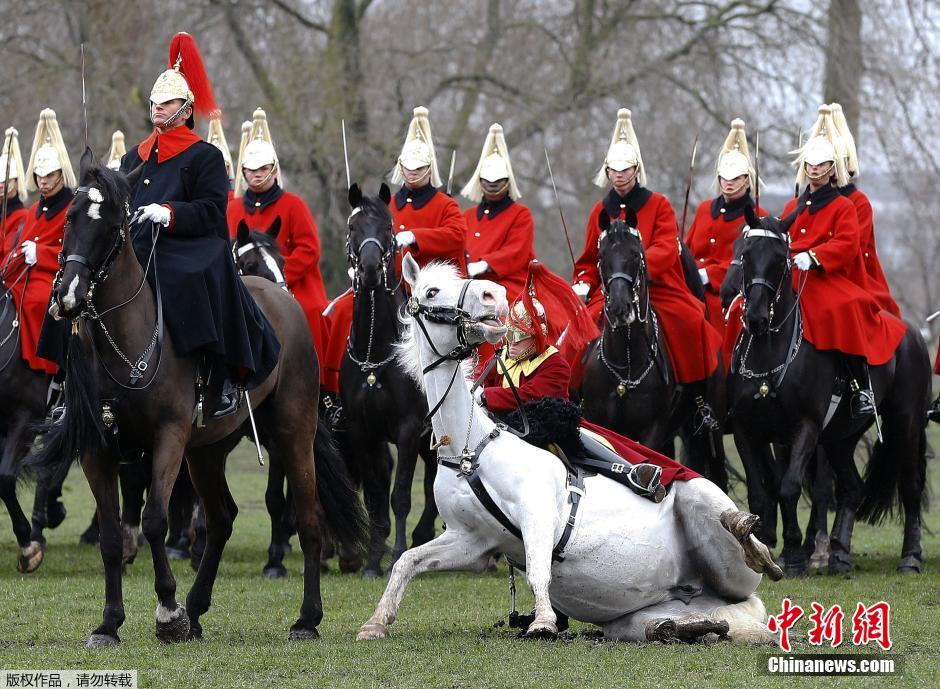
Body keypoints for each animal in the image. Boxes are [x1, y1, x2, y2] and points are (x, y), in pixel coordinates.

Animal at [29, 153, 368, 648]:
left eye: (111, 223)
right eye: (70, 218)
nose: (68, 296)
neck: (127, 340)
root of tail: (285, 302)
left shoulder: (168, 439)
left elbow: (154, 519)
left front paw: (167, 612)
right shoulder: (97, 450)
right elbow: (111, 536)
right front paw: (110, 623)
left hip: (292, 433)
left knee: (308, 517)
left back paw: (305, 618)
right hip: (207, 451)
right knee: (222, 518)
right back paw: (197, 610)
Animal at [358, 254, 780, 644]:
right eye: (431, 291)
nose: (492, 294)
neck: (470, 449)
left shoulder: (538, 514)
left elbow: (538, 568)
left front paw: (543, 622)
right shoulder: (472, 541)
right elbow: (407, 562)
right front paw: (376, 622)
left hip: (709, 512)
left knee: (745, 546)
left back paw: (750, 540)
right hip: (651, 615)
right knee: (693, 623)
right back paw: (683, 627)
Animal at [580, 212, 728, 486]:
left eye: (635, 254)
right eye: (602, 257)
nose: (620, 308)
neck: (626, 362)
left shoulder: (652, 430)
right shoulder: (599, 422)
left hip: (710, 429)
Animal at [724, 210, 928, 576]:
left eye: (781, 260)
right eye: (746, 254)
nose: (756, 317)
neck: (770, 354)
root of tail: (912, 332)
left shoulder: (805, 427)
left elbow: (789, 487)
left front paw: (793, 555)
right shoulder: (747, 431)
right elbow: (761, 494)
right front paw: (763, 550)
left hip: (904, 423)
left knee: (910, 486)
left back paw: (910, 557)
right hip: (841, 437)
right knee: (852, 488)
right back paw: (839, 555)